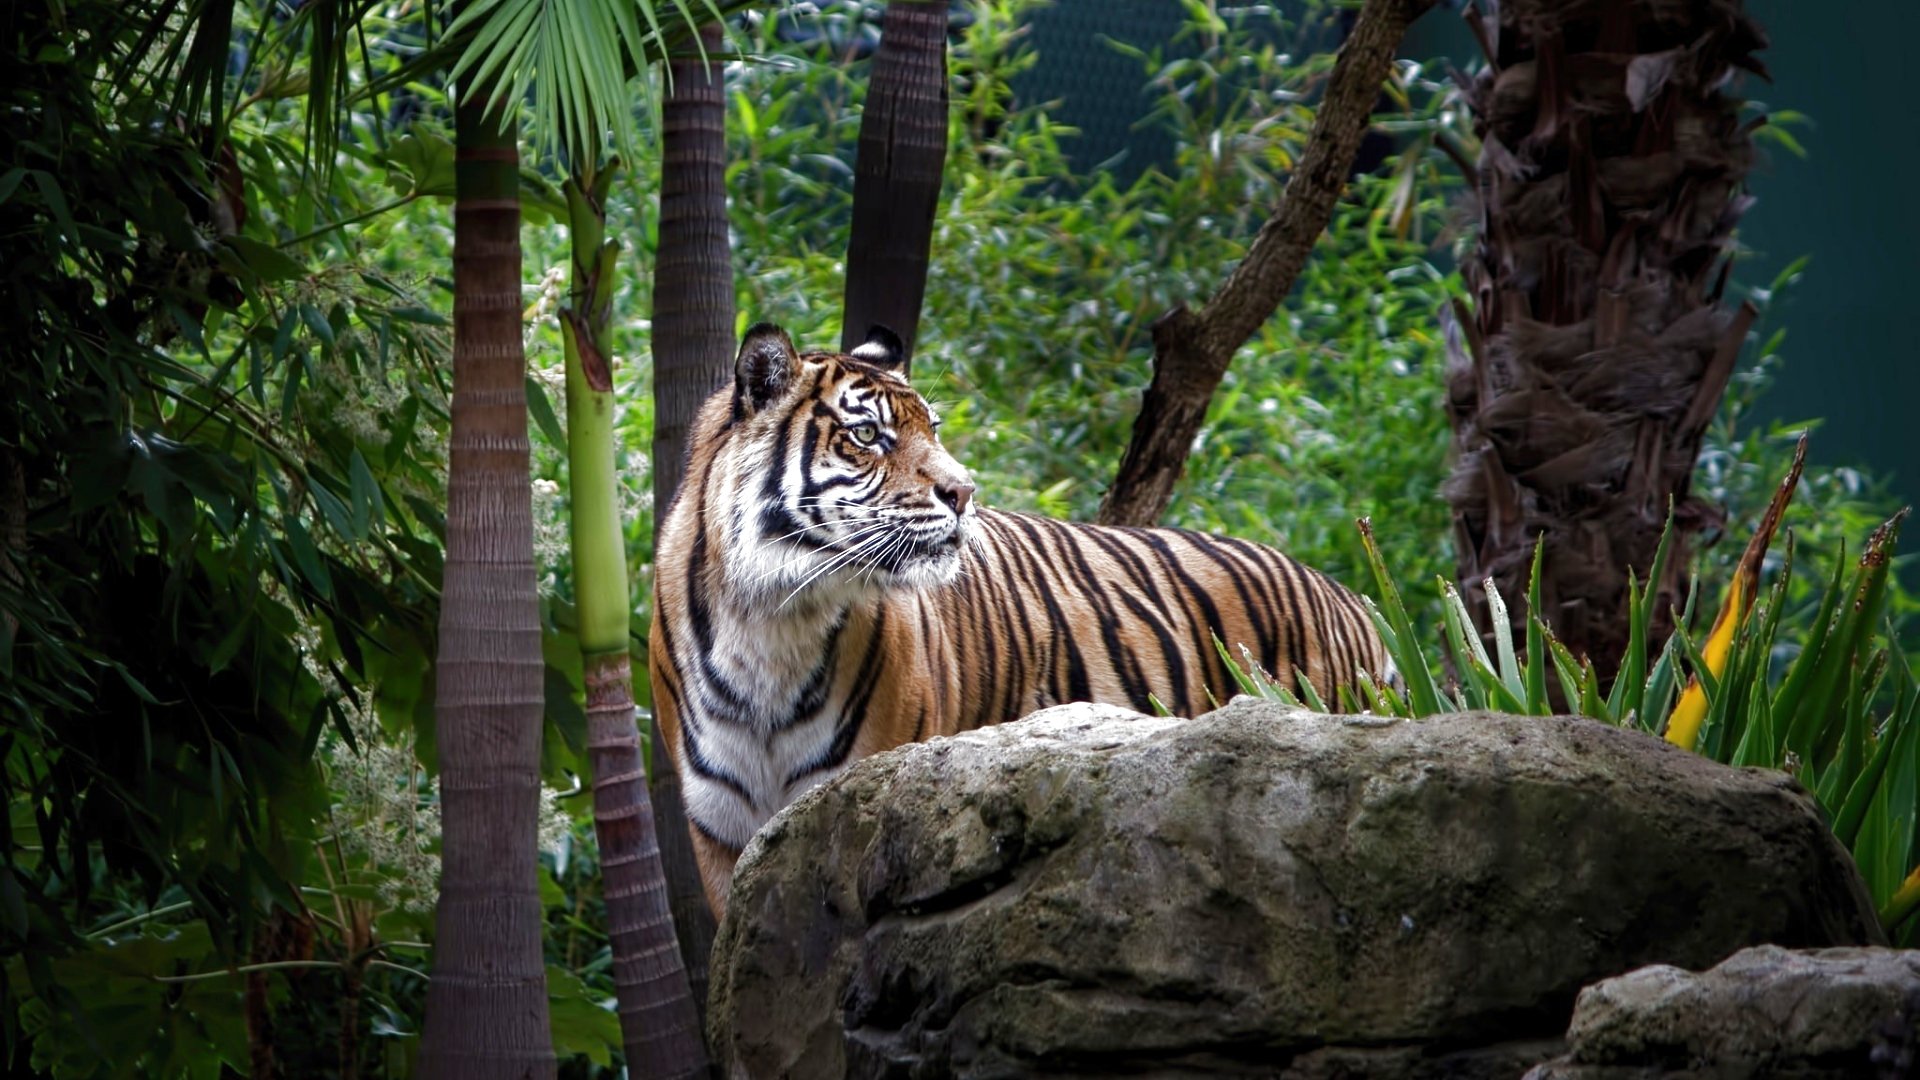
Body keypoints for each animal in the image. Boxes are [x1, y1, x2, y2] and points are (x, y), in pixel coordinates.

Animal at [648, 322, 1390, 915]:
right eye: (867, 435)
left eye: (932, 428)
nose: (963, 490)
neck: (772, 619)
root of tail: (1354, 599)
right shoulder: (723, 836)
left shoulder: (855, 798)